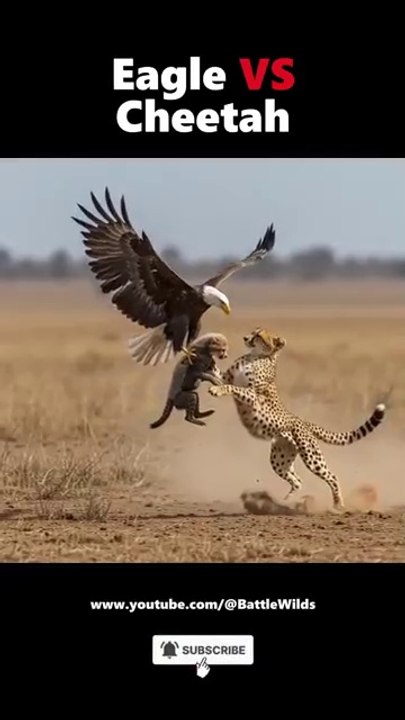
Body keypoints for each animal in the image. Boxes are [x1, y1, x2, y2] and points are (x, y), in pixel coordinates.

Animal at [210, 328, 386, 510]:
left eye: (258, 335)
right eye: (253, 331)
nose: (245, 338)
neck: (255, 356)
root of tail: (304, 422)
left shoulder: (252, 395)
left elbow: (232, 387)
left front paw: (217, 390)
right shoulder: (225, 377)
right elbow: (219, 374)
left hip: (311, 457)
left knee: (331, 476)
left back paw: (338, 504)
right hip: (280, 459)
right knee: (298, 480)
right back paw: (288, 500)